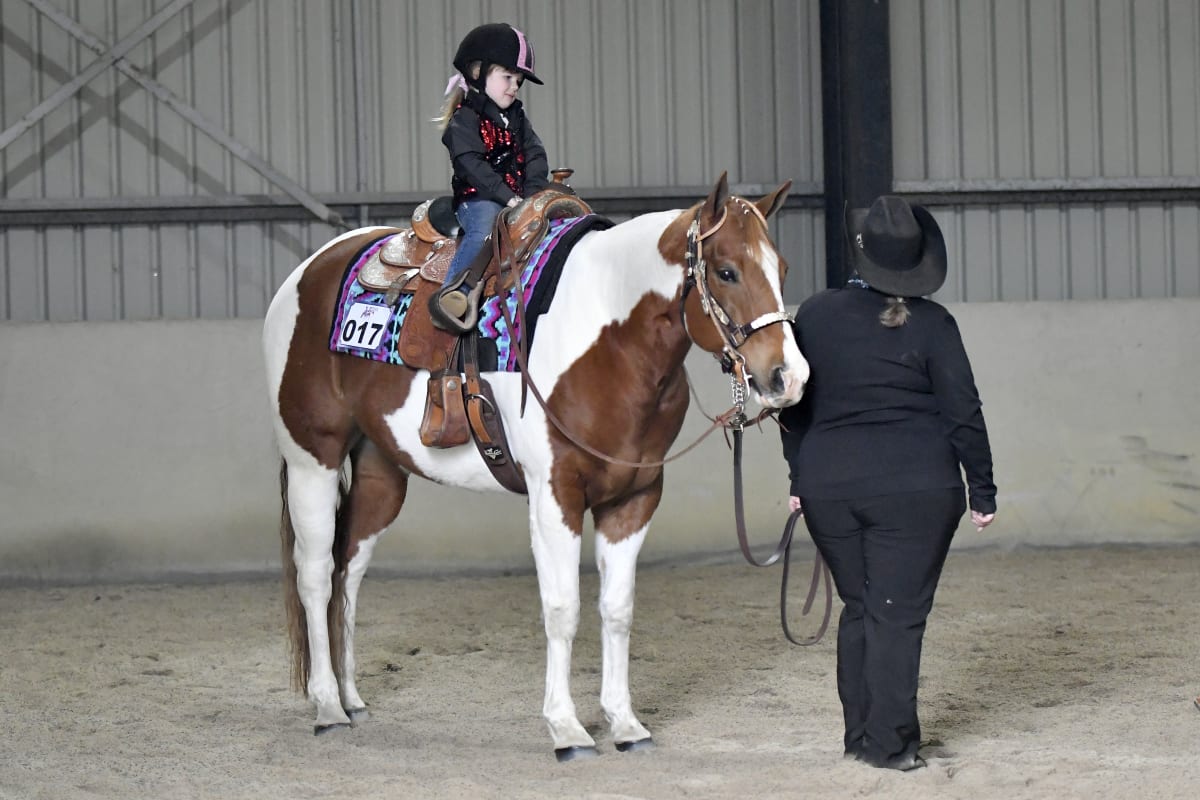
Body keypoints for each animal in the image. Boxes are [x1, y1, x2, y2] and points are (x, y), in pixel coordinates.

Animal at [260, 172, 806, 762]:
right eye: (726, 271)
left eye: (782, 269)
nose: (788, 377)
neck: (611, 342)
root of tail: (304, 274)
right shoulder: (555, 496)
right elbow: (563, 609)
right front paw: (567, 729)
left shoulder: (635, 498)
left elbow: (617, 609)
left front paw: (625, 723)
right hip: (312, 460)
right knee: (316, 576)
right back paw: (327, 707)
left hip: (381, 474)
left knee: (349, 570)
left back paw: (352, 697)